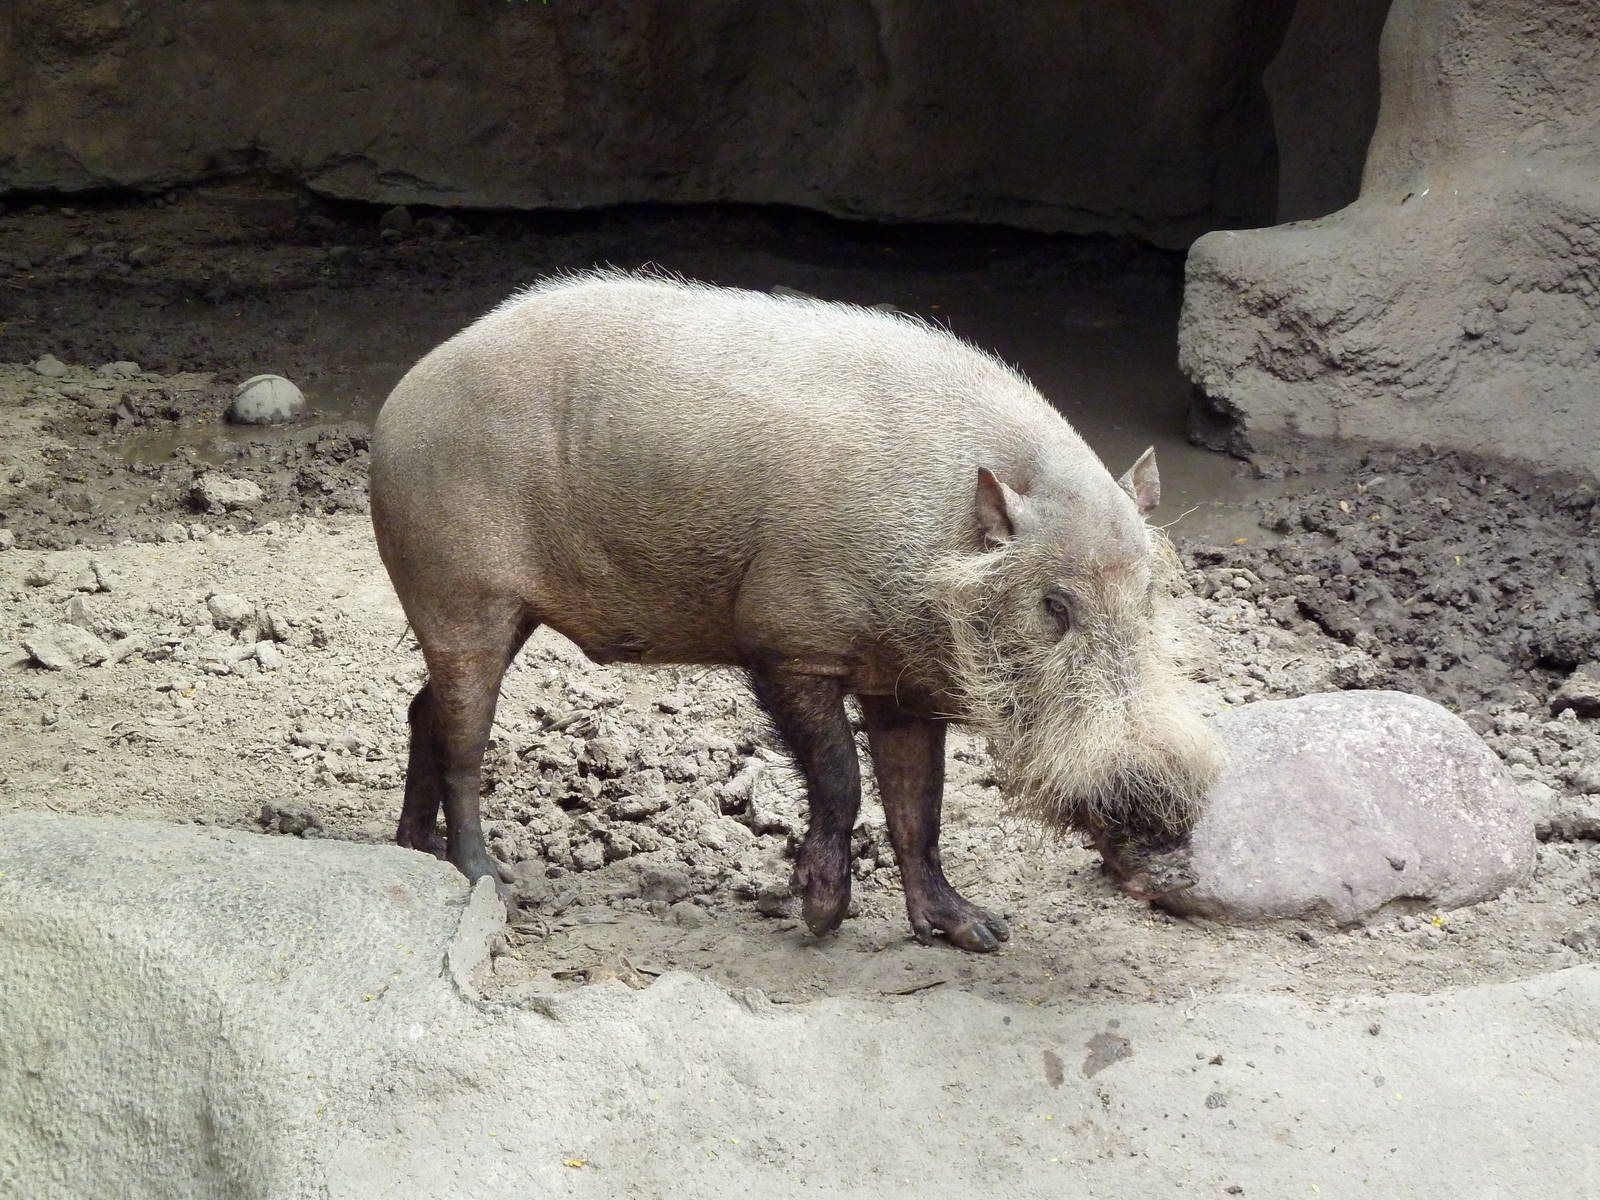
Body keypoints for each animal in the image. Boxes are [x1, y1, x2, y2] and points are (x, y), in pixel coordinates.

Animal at [369, 269, 1223, 952]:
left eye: (1151, 594)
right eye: (1054, 604)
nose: (1161, 818)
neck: (938, 544)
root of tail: (403, 397)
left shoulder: (903, 686)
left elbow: (920, 808)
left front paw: (979, 933)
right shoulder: (786, 642)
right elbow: (842, 779)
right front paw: (819, 917)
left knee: (422, 711)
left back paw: (412, 850)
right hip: (460, 596)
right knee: (462, 742)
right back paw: (489, 880)